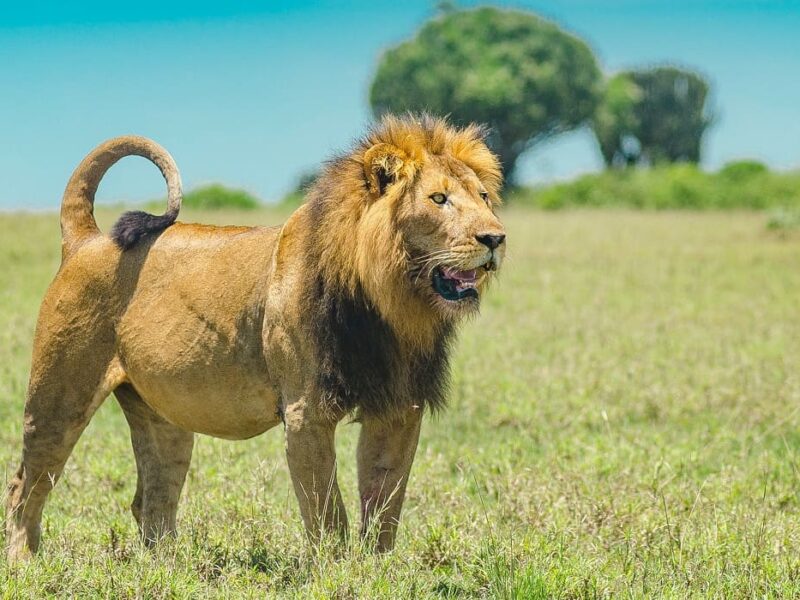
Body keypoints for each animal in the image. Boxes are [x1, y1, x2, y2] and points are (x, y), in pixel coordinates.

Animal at [5, 115, 506, 561]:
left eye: (484, 197)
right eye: (438, 199)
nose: (495, 238)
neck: (391, 303)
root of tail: (87, 239)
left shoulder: (399, 408)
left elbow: (384, 503)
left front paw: (377, 571)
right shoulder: (306, 413)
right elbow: (328, 513)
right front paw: (336, 572)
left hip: (162, 416)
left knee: (151, 499)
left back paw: (170, 568)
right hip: (59, 395)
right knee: (24, 486)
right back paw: (23, 561)